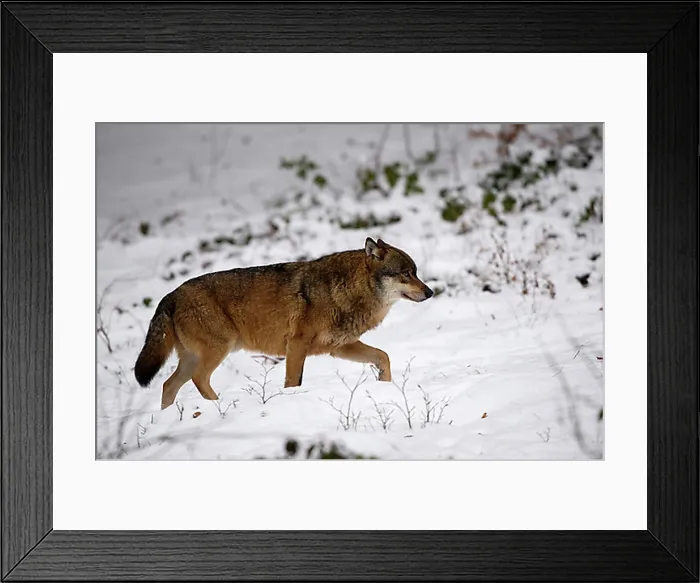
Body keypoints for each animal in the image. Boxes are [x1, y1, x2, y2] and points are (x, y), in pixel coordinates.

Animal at [134, 238, 434, 409]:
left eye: (416, 272)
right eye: (406, 274)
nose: (430, 292)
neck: (346, 289)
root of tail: (171, 294)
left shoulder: (339, 348)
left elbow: (383, 356)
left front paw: (384, 383)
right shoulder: (297, 345)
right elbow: (293, 382)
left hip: (191, 358)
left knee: (167, 385)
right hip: (217, 351)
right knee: (198, 380)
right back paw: (218, 407)